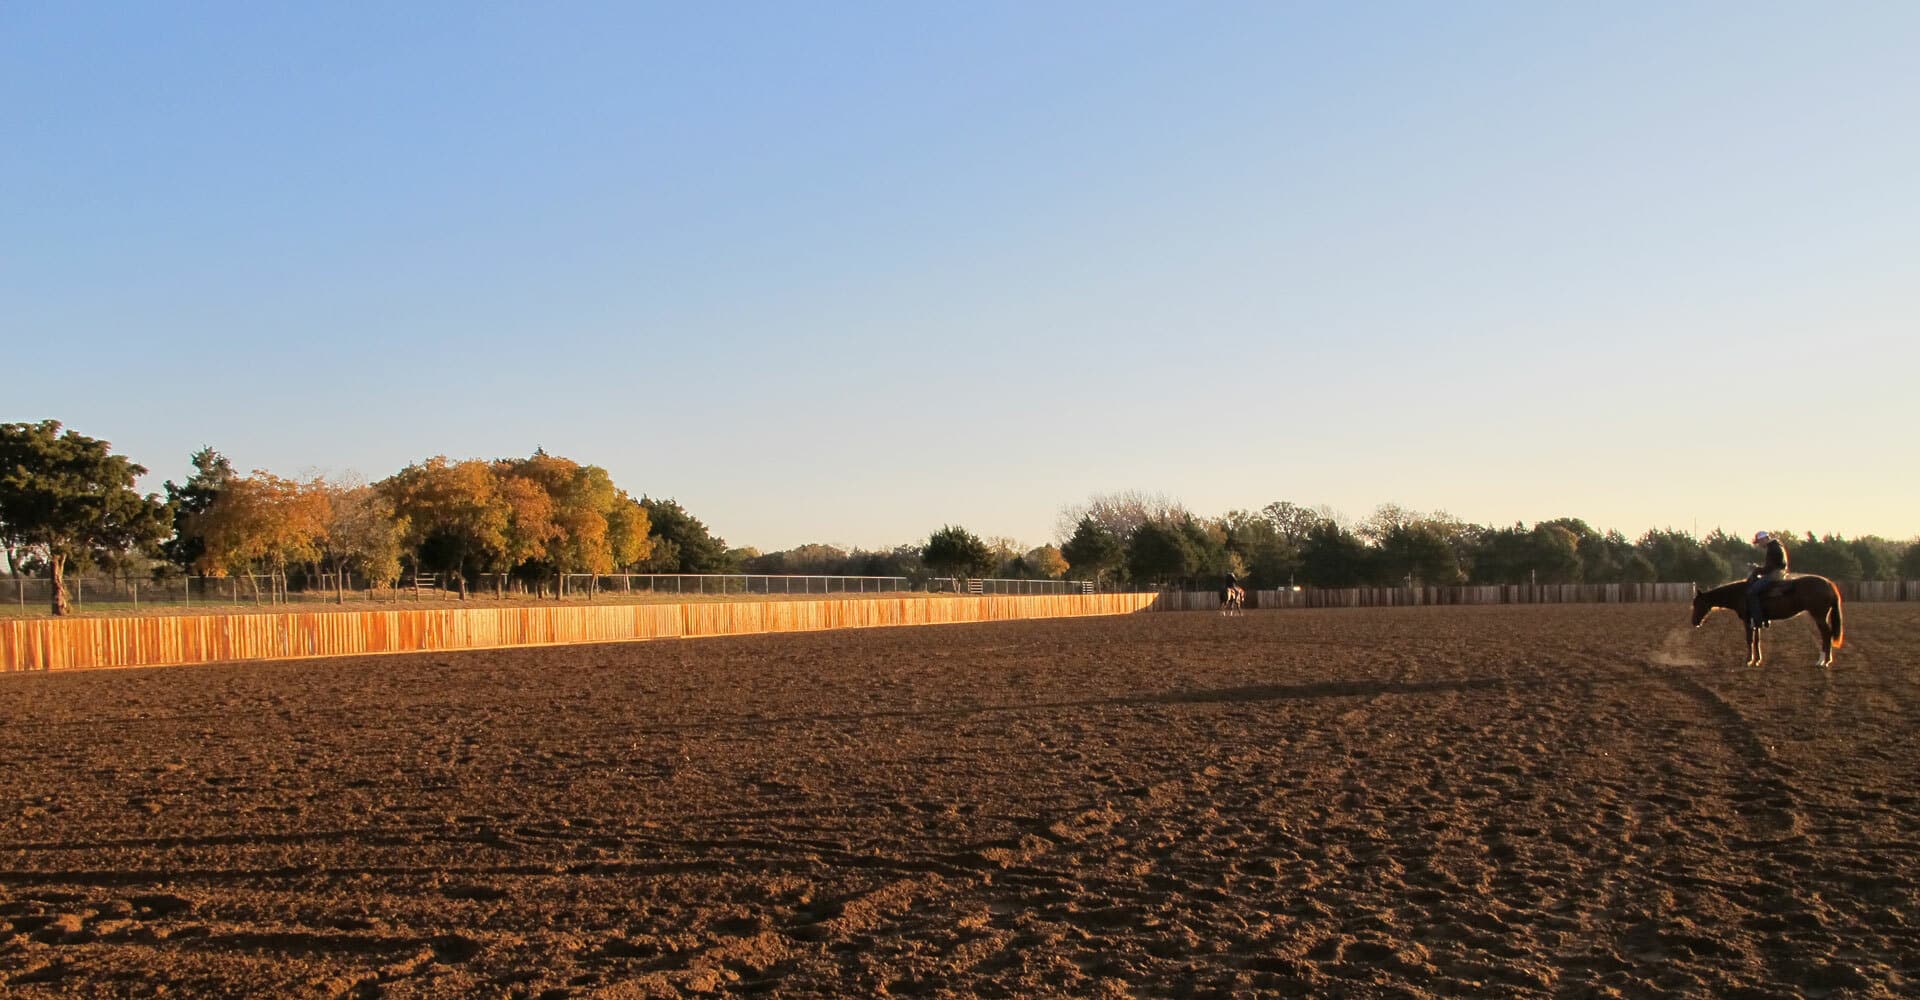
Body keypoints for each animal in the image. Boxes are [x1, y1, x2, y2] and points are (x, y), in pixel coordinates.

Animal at [1689, 574, 1845, 667]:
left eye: (1697, 604)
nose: (1694, 622)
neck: (1740, 593)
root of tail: (1829, 584)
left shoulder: (1747, 621)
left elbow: (1749, 640)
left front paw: (1748, 660)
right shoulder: (1756, 621)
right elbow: (1757, 640)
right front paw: (1757, 660)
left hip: (1819, 615)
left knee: (1826, 634)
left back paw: (1822, 661)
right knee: (1827, 634)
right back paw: (1825, 660)